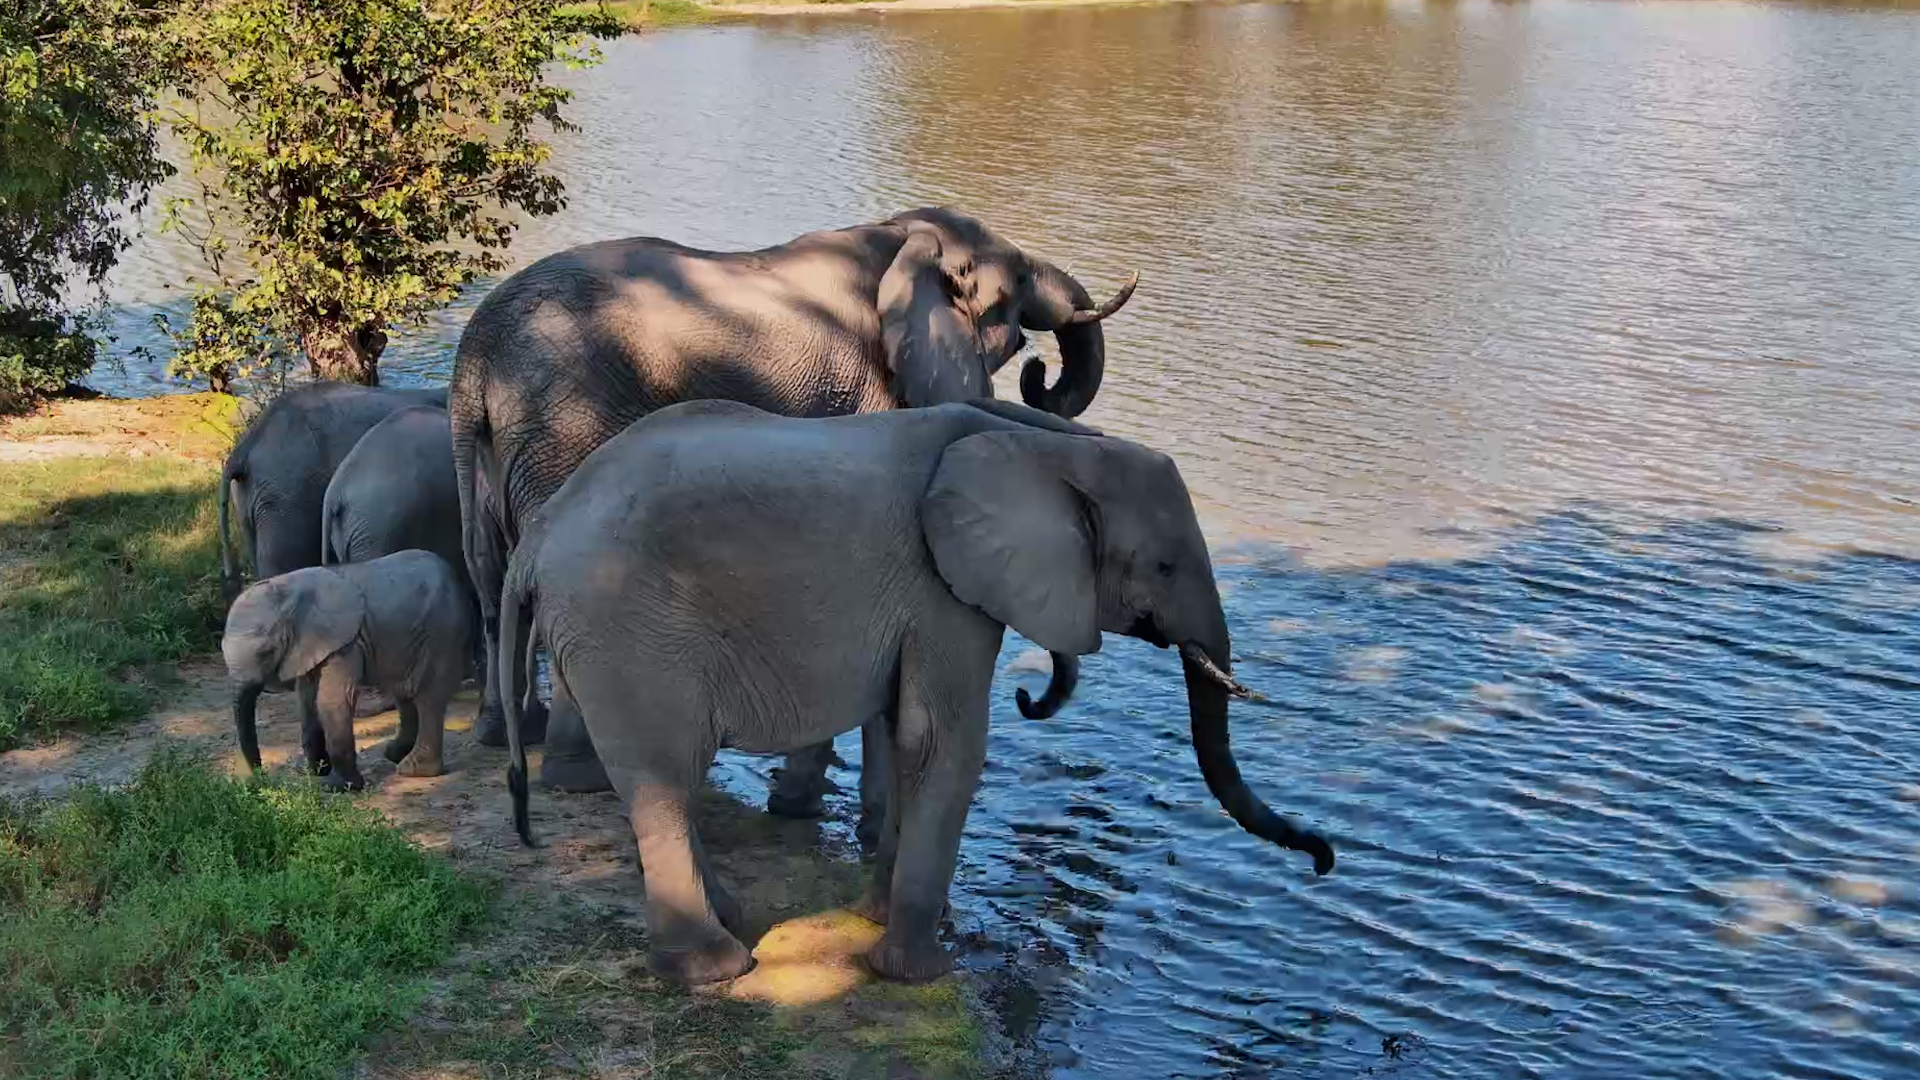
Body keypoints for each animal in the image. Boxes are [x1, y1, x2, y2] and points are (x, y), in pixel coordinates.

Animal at [223, 550, 475, 789]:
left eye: (267, 652)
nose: (257, 778)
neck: (289, 590)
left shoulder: (344, 643)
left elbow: (331, 700)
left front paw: (337, 786)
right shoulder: (309, 644)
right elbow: (307, 700)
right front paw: (315, 771)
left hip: (442, 633)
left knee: (428, 699)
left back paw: (413, 770)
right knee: (404, 695)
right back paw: (394, 754)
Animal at [452, 206, 1134, 807]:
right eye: (1015, 282)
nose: (1038, 372)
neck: (900, 235)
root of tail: (475, 362)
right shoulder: (871, 395)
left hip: (489, 452)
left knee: (491, 572)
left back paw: (504, 734)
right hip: (566, 427)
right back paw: (581, 776)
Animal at [496, 398, 1335, 986]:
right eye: (1162, 566)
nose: (1324, 859)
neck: (1047, 444)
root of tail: (536, 538)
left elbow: (905, 733)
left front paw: (871, 919)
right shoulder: (945, 593)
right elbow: (943, 743)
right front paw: (923, 972)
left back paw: (729, 922)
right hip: (627, 630)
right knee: (664, 779)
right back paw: (714, 971)